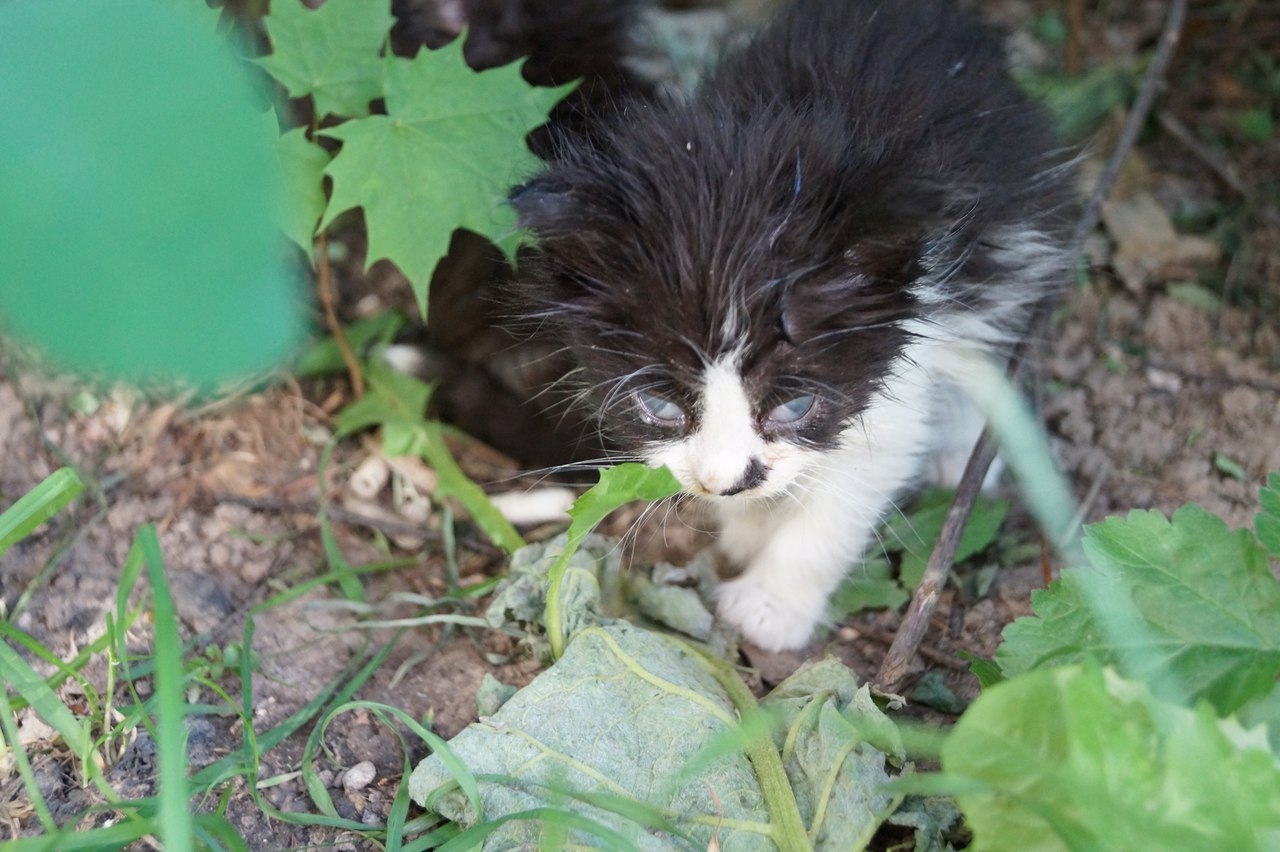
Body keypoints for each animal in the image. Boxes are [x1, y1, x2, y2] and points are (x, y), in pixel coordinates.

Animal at [509, 0, 1070, 647]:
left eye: (795, 407)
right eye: (660, 406)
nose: (727, 483)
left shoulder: (905, 352)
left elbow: (845, 497)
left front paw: (770, 605)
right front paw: (746, 527)